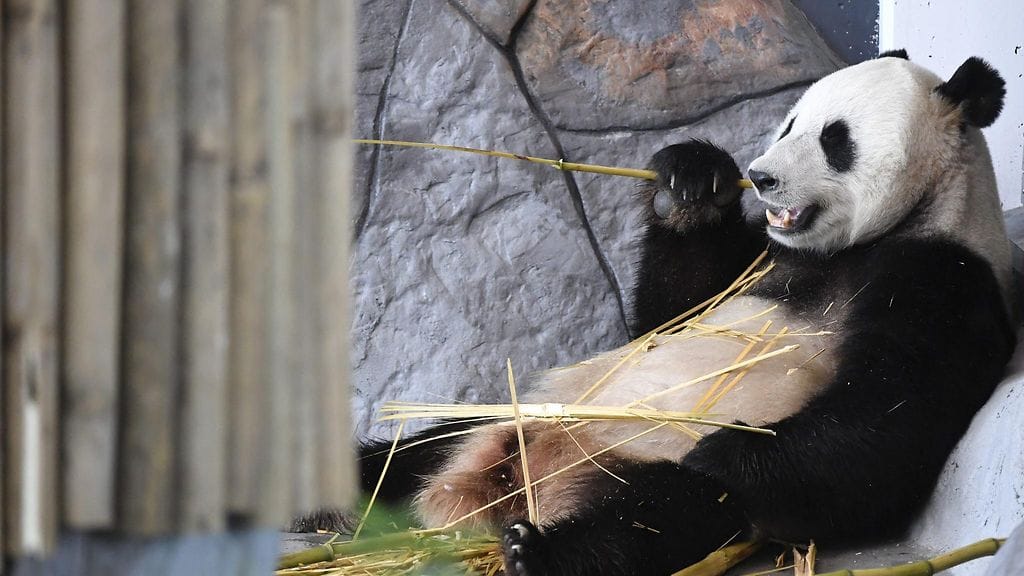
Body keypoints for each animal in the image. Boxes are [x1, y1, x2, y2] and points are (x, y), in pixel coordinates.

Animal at [309, 52, 1017, 576]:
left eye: (834, 140)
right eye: (790, 123)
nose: (761, 177)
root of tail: (490, 491)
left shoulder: (944, 280)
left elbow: (887, 418)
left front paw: (727, 450)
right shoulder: (760, 259)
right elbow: (665, 317)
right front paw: (692, 181)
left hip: (629, 462)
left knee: (653, 519)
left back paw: (538, 551)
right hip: (510, 416)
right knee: (401, 456)